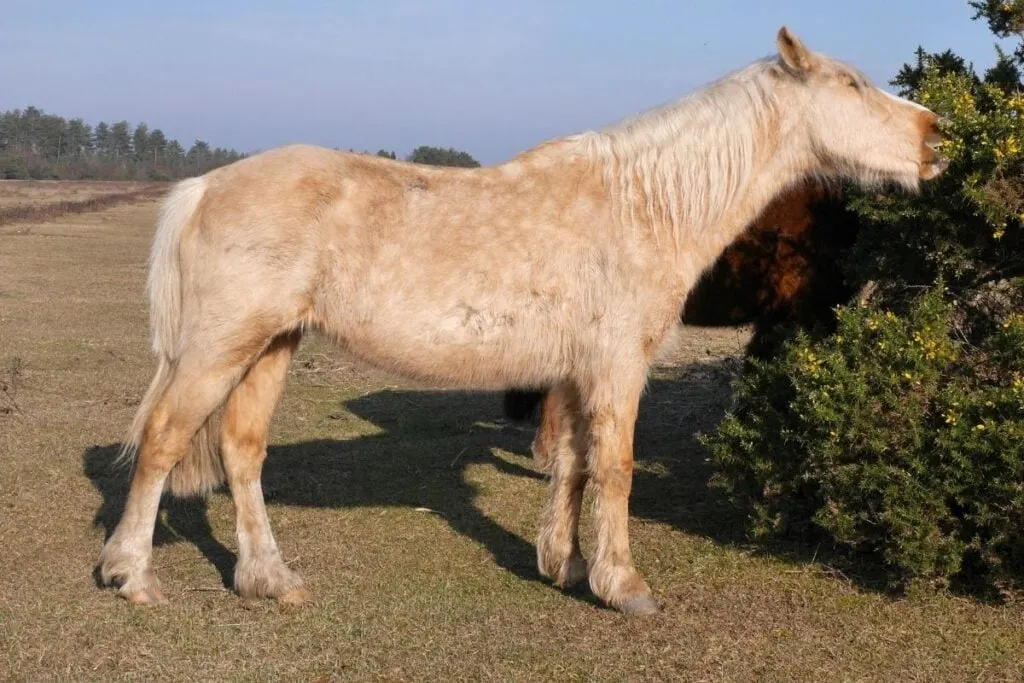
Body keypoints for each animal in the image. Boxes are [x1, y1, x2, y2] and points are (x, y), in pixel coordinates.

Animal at [99, 28, 946, 614]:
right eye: (852, 83)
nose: (937, 136)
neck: (645, 204)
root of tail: (207, 185)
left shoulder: (572, 373)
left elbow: (570, 463)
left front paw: (562, 565)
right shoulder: (617, 366)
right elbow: (615, 467)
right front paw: (622, 583)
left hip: (271, 345)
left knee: (241, 451)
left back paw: (269, 578)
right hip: (220, 346)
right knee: (165, 440)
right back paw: (132, 575)